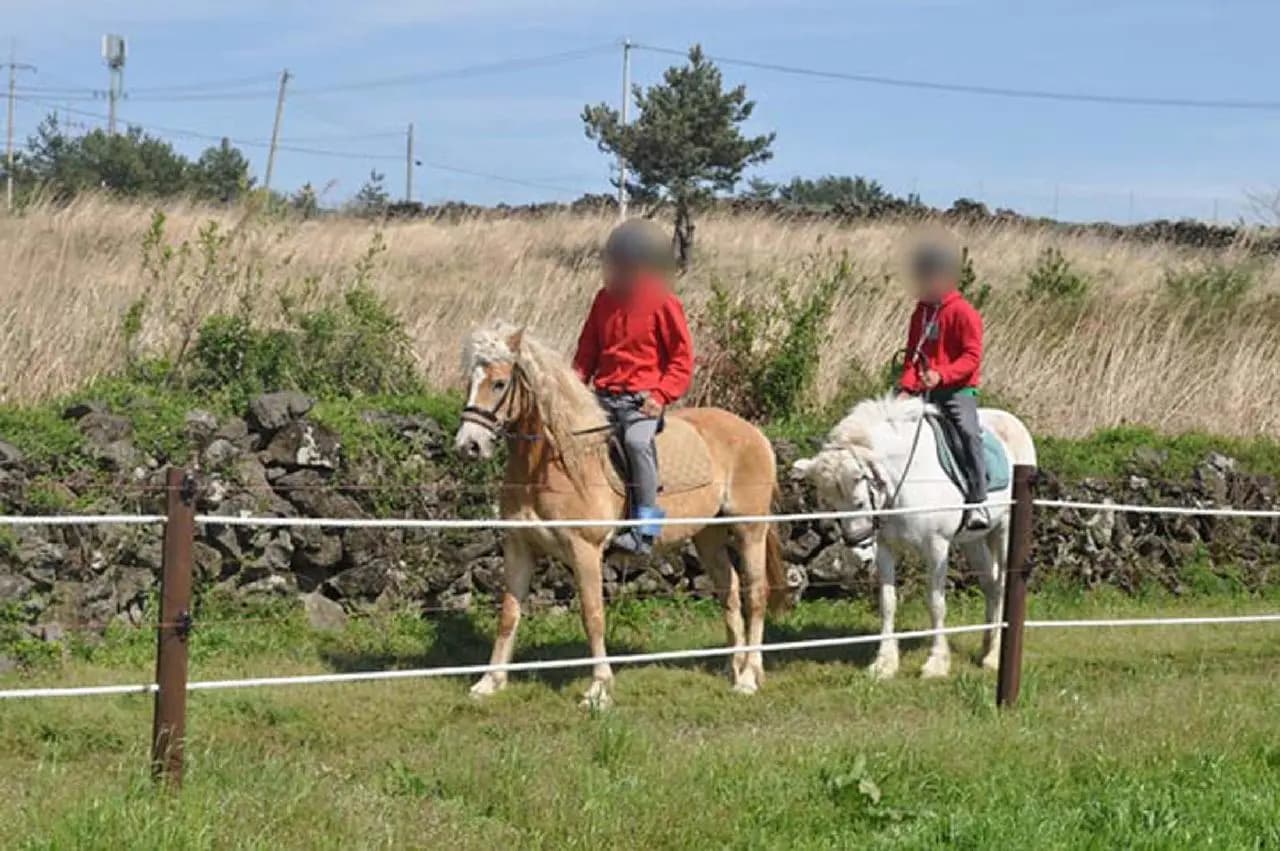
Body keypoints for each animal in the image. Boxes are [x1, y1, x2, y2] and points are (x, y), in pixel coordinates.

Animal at [452, 323, 791, 708]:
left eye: (498, 383)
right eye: (470, 380)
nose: (468, 445)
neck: (554, 463)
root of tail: (754, 432)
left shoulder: (585, 551)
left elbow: (592, 615)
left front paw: (599, 689)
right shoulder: (519, 547)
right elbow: (509, 613)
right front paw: (489, 682)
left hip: (750, 528)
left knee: (756, 593)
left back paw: (749, 676)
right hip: (709, 535)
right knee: (729, 589)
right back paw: (734, 667)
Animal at [791, 394, 1036, 679]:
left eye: (859, 501)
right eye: (831, 504)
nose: (857, 548)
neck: (907, 480)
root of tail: (1014, 421)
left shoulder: (937, 548)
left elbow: (936, 603)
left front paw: (936, 663)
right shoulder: (886, 549)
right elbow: (887, 602)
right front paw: (884, 663)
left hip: (1005, 531)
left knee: (1004, 586)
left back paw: (995, 656)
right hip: (973, 542)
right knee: (992, 587)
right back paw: (988, 647)